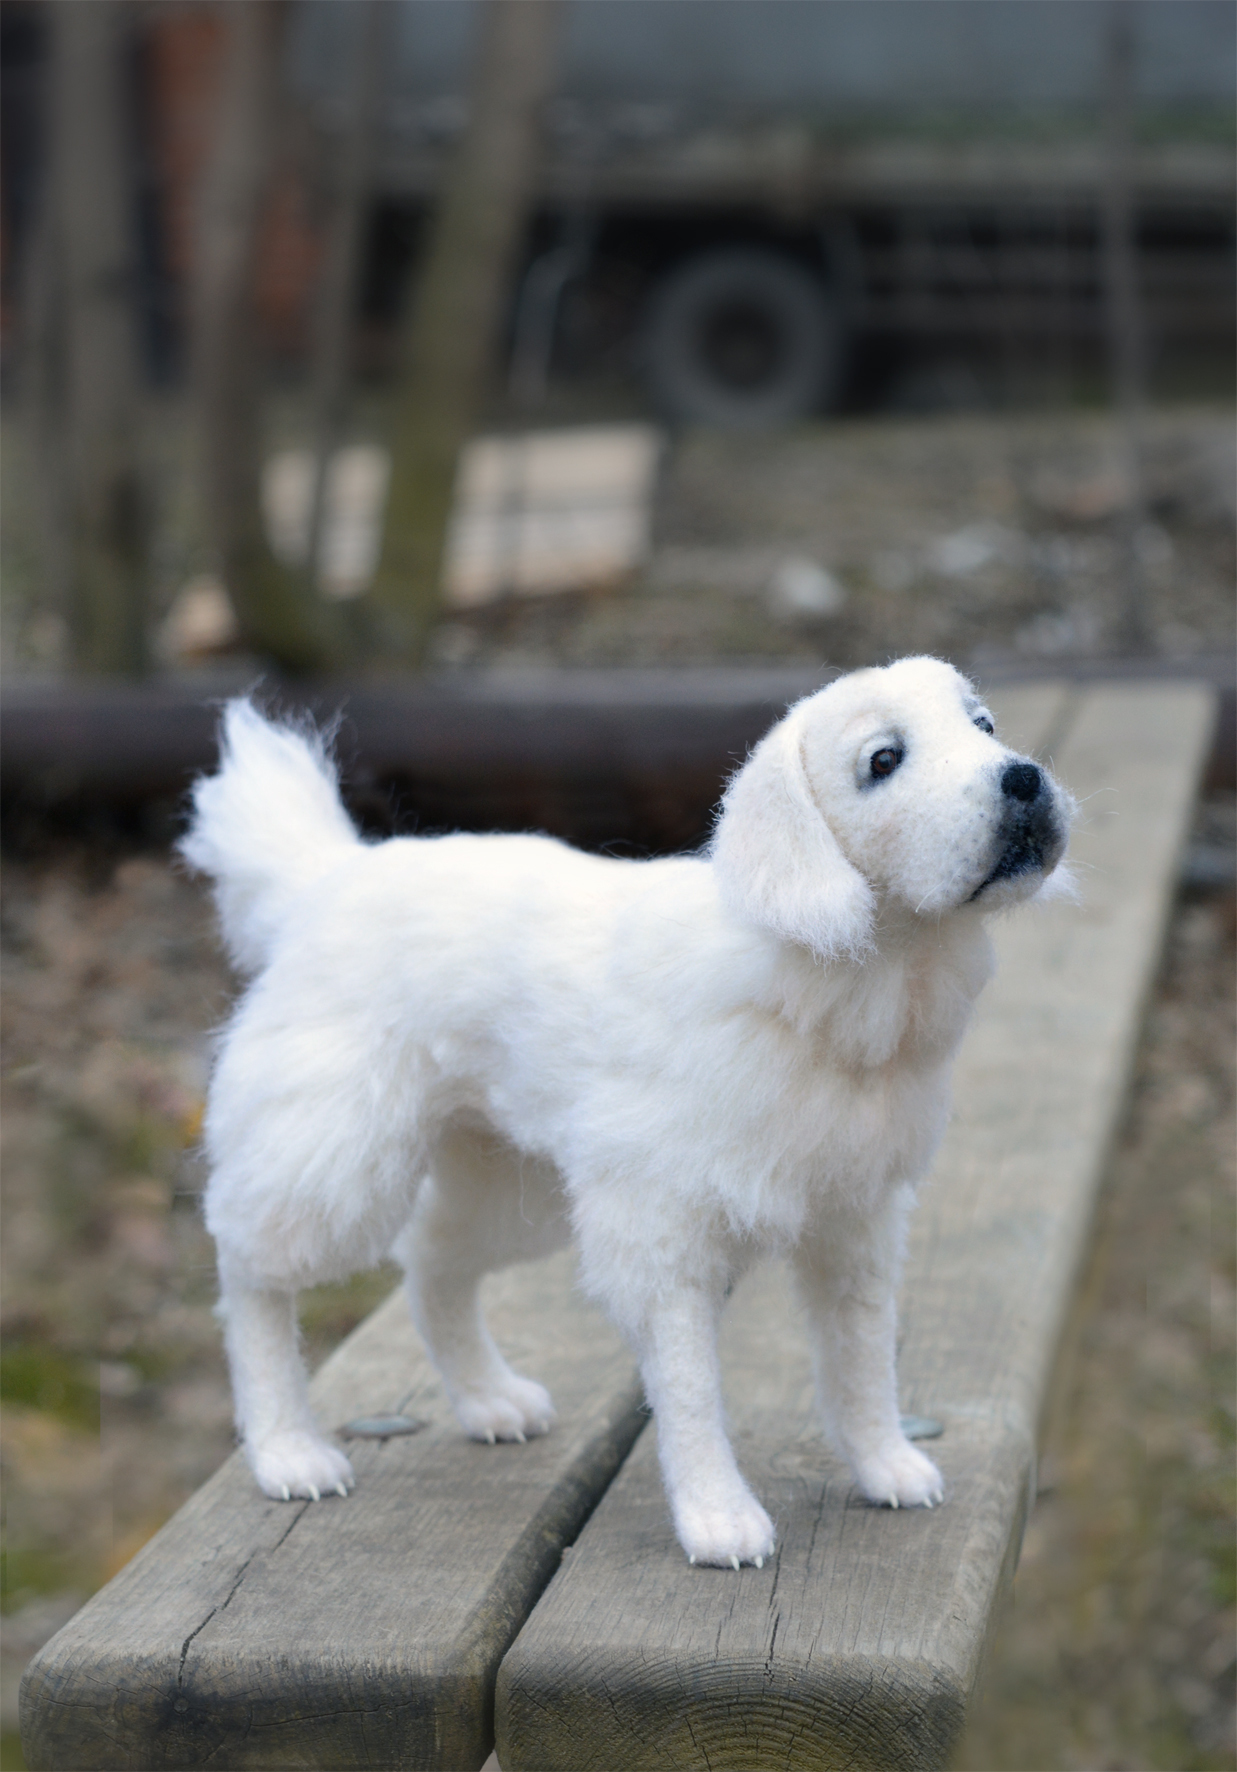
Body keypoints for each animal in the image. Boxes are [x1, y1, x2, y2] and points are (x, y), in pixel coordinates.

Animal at [183, 662, 1070, 1566]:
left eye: (983, 726)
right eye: (882, 760)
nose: (1022, 780)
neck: (829, 986)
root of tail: (322, 882)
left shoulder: (853, 1223)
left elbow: (860, 1362)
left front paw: (884, 1464)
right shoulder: (662, 1238)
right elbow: (690, 1389)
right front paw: (719, 1518)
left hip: (509, 1189)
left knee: (428, 1258)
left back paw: (487, 1397)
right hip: (333, 1156)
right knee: (247, 1272)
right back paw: (287, 1450)